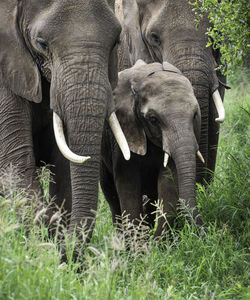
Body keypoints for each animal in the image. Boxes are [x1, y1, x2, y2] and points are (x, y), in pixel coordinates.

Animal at [0, 0, 131, 247]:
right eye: (41, 43)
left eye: (116, 42)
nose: (68, 249)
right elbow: (15, 161)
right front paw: (44, 242)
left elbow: (62, 166)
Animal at [100, 60, 206, 234]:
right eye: (153, 119)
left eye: (195, 115)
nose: (204, 232)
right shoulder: (123, 132)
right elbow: (127, 184)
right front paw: (136, 241)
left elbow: (169, 181)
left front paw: (158, 240)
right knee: (110, 194)